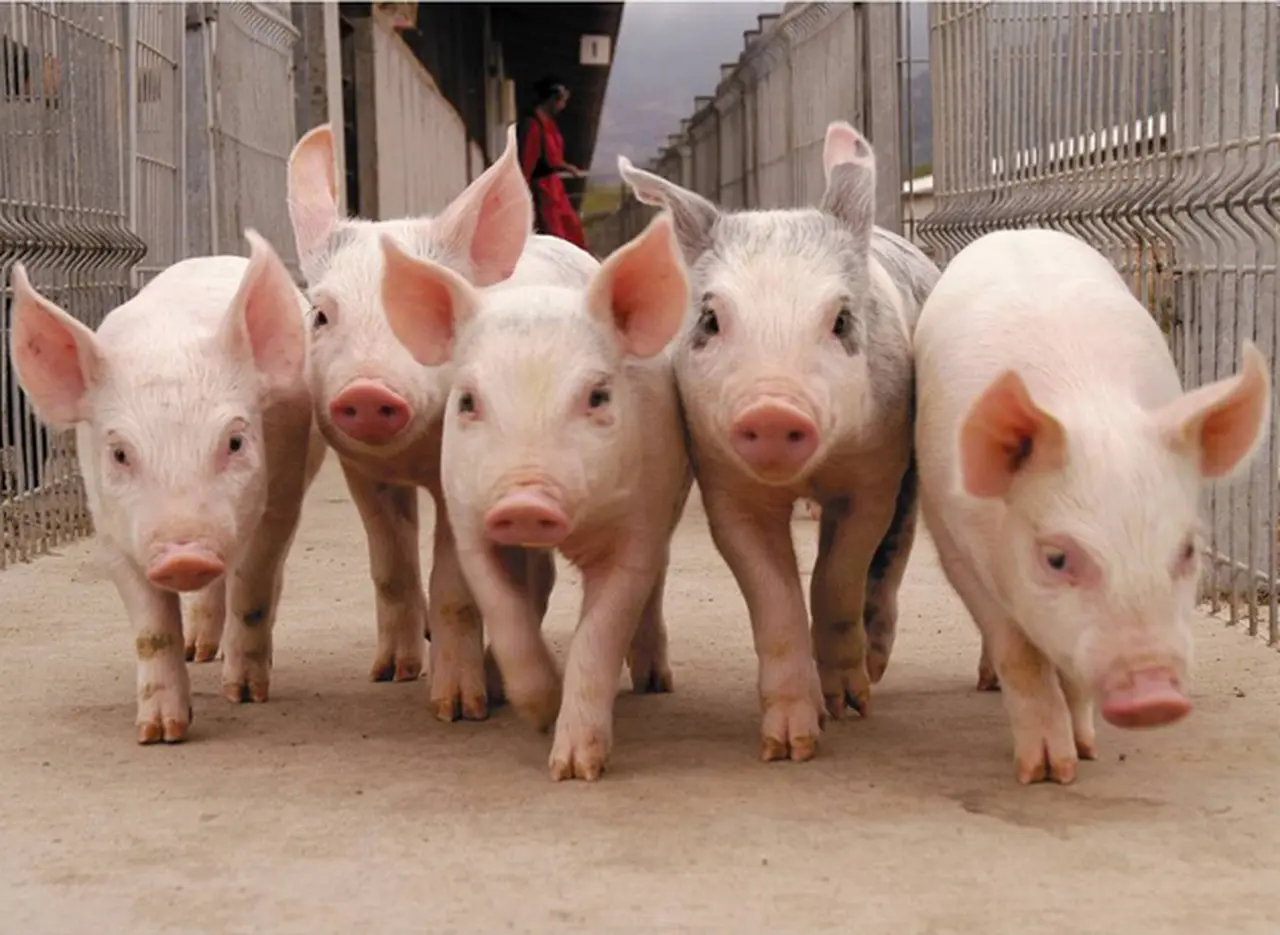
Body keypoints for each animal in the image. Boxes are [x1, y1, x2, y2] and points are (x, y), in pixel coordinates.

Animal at [8, 231, 327, 743]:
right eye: (120, 454)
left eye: (235, 441)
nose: (184, 555)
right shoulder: (110, 526)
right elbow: (151, 628)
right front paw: (160, 734)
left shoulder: (281, 493)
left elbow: (253, 583)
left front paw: (244, 694)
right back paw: (199, 650)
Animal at [286, 123, 674, 723]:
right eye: (321, 314)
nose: (369, 392)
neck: (410, 458)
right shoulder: (361, 467)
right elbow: (390, 566)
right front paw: (391, 674)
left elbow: (454, 586)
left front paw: (457, 710)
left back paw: (653, 683)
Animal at [379, 210, 692, 780]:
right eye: (467, 401)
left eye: (598, 396)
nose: (525, 504)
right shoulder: (470, 519)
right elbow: (506, 615)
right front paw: (538, 710)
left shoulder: (641, 520)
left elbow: (601, 630)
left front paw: (573, 769)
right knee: (538, 583)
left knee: (653, 583)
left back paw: (655, 681)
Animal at [617, 121, 940, 762]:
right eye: (711, 319)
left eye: (841, 320)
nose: (771, 409)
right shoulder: (724, 485)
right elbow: (774, 601)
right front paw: (789, 746)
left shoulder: (875, 472)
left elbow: (840, 574)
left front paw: (848, 705)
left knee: (893, 555)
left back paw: (876, 668)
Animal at [913, 228, 1272, 784]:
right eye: (1057, 558)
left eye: (1188, 551)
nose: (1154, 694)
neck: (1084, 400)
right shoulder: (953, 540)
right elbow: (1019, 654)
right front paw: (1045, 773)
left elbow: (1070, 672)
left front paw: (1085, 752)